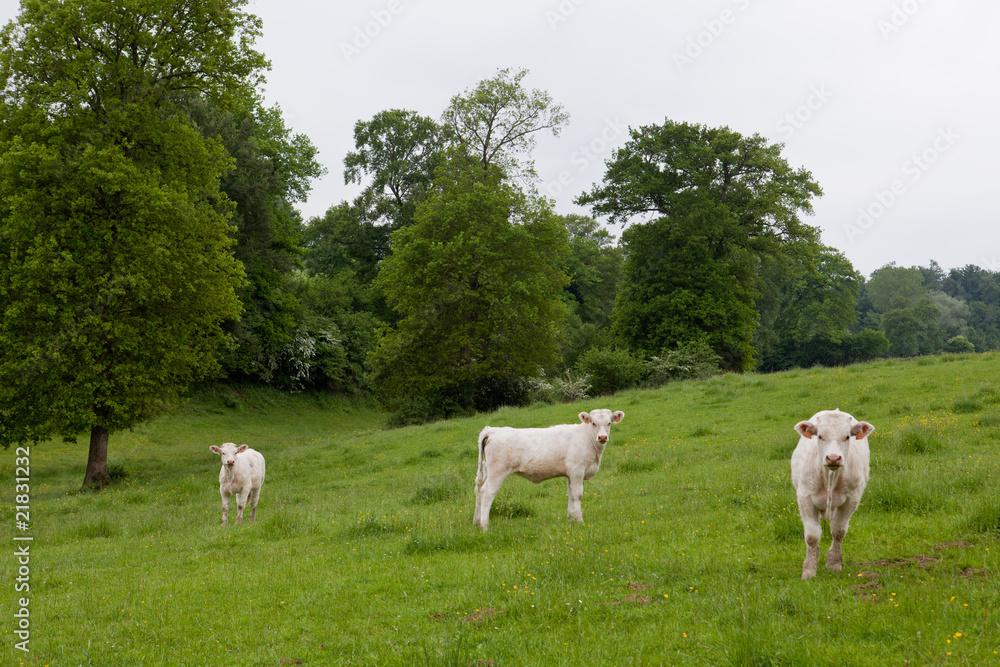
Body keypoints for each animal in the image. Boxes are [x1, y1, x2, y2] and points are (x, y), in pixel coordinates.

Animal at [473, 409, 625, 532]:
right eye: (593, 423)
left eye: (609, 423)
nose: (602, 437)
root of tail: (492, 430)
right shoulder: (577, 470)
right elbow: (578, 495)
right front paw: (580, 521)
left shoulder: (570, 474)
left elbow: (570, 494)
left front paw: (571, 519)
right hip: (497, 472)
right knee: (487, 492)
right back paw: (484, 526)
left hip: (486, 470)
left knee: (479, 491)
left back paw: (476, 522)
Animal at [791, 409, 874, 580]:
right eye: (820, 436)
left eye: (847, 436)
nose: (833, 458)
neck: (830, 476)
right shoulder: (805, 499)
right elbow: (812, 536)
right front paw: (809, 570)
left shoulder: (851, 499)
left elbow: (838, 531)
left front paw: (834, 564)